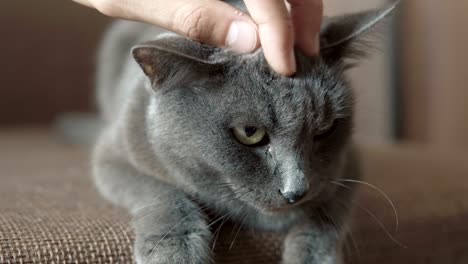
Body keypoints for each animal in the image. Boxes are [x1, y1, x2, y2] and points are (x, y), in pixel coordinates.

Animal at [92, 1, 398, 262]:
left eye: (326, 129)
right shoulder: (113, 155)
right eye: (249, 132)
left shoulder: (348, 166)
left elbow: (326, 214)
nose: (296, 191)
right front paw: (177, 252)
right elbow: (161, 191)